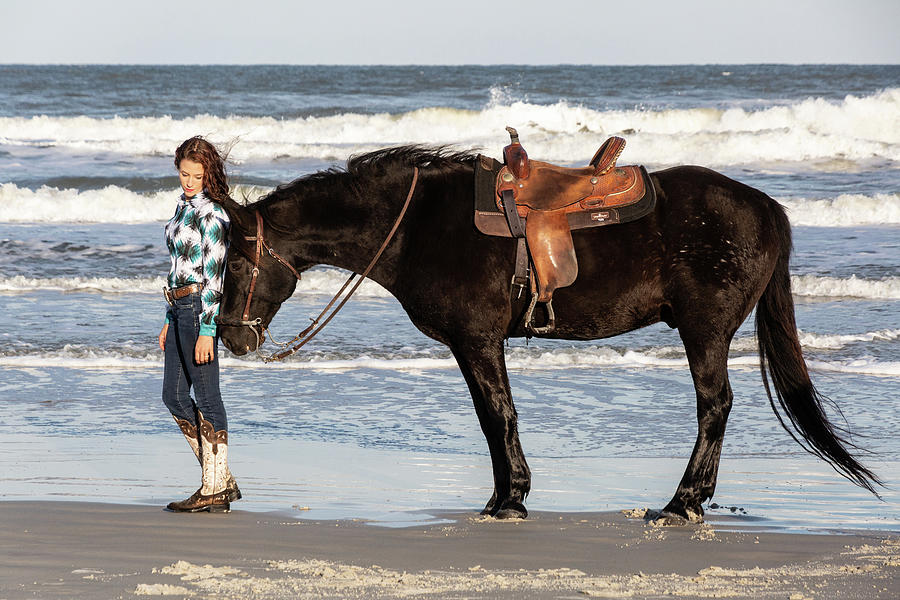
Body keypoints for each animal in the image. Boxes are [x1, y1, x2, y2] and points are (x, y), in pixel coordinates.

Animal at [213, 144, 880, 520]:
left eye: (236, 263)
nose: (233, 340)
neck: (417, 225)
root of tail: (767, 208)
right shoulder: (474, 346)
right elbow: (493, 418)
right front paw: (503, 496)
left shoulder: (477, 342)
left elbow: (497, 415)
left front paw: (510, 499)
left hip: (705, 331)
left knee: (714, 406)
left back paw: (681, 503)